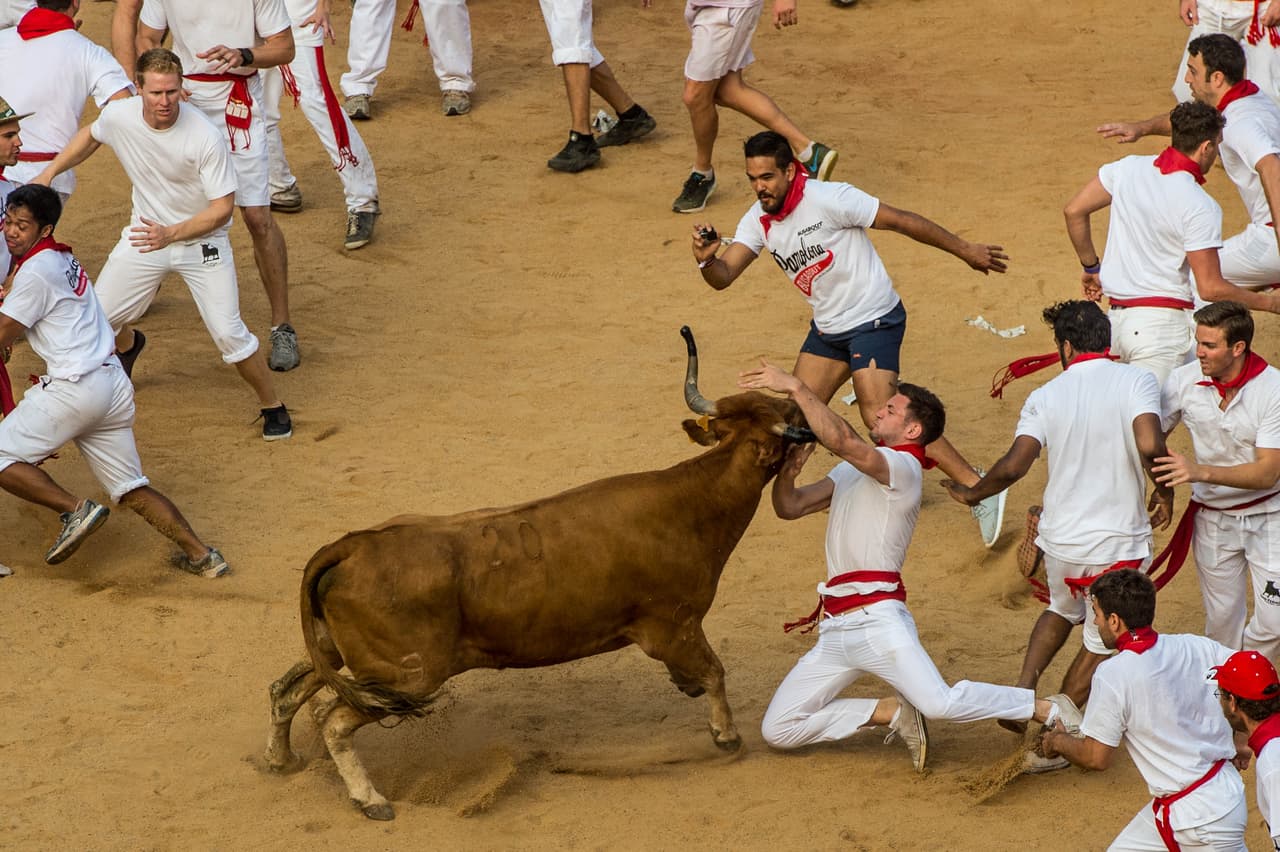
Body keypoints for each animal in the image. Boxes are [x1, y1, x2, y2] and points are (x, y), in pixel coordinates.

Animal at [263, 328, 814, 820]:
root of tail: (352, 545)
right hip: (407, 678)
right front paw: (726, 736)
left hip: (341, 655)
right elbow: (715, 672)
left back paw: (280, 759)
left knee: (286, 690)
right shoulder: (674, 626)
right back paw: (370, 799)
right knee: (333, 720)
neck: (695, 500)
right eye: (785, 415)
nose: (803, 405)